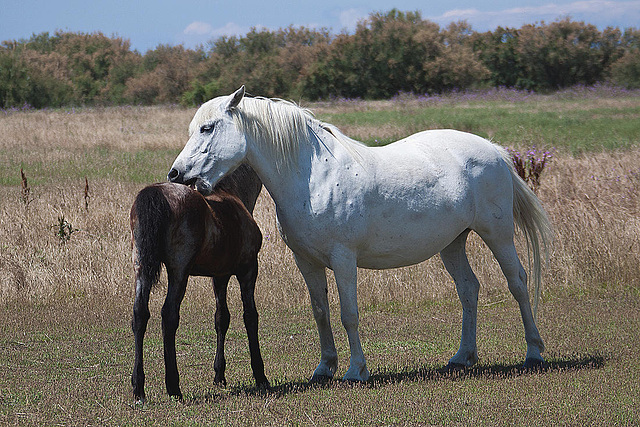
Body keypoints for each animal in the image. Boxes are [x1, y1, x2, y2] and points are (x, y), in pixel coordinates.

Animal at [168, 86, 552, 382]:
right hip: (453, 243)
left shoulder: (343, 259)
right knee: (468, 290)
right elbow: (320, 311)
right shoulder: (306, 261)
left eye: (207, 128)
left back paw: (534, 351)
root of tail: (494, 150)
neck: (312, 175)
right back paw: (462, 357)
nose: (176, 174)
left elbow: (348, 314)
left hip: (497, 233)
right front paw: (325, 368)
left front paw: (356, 371)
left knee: (517, 282)